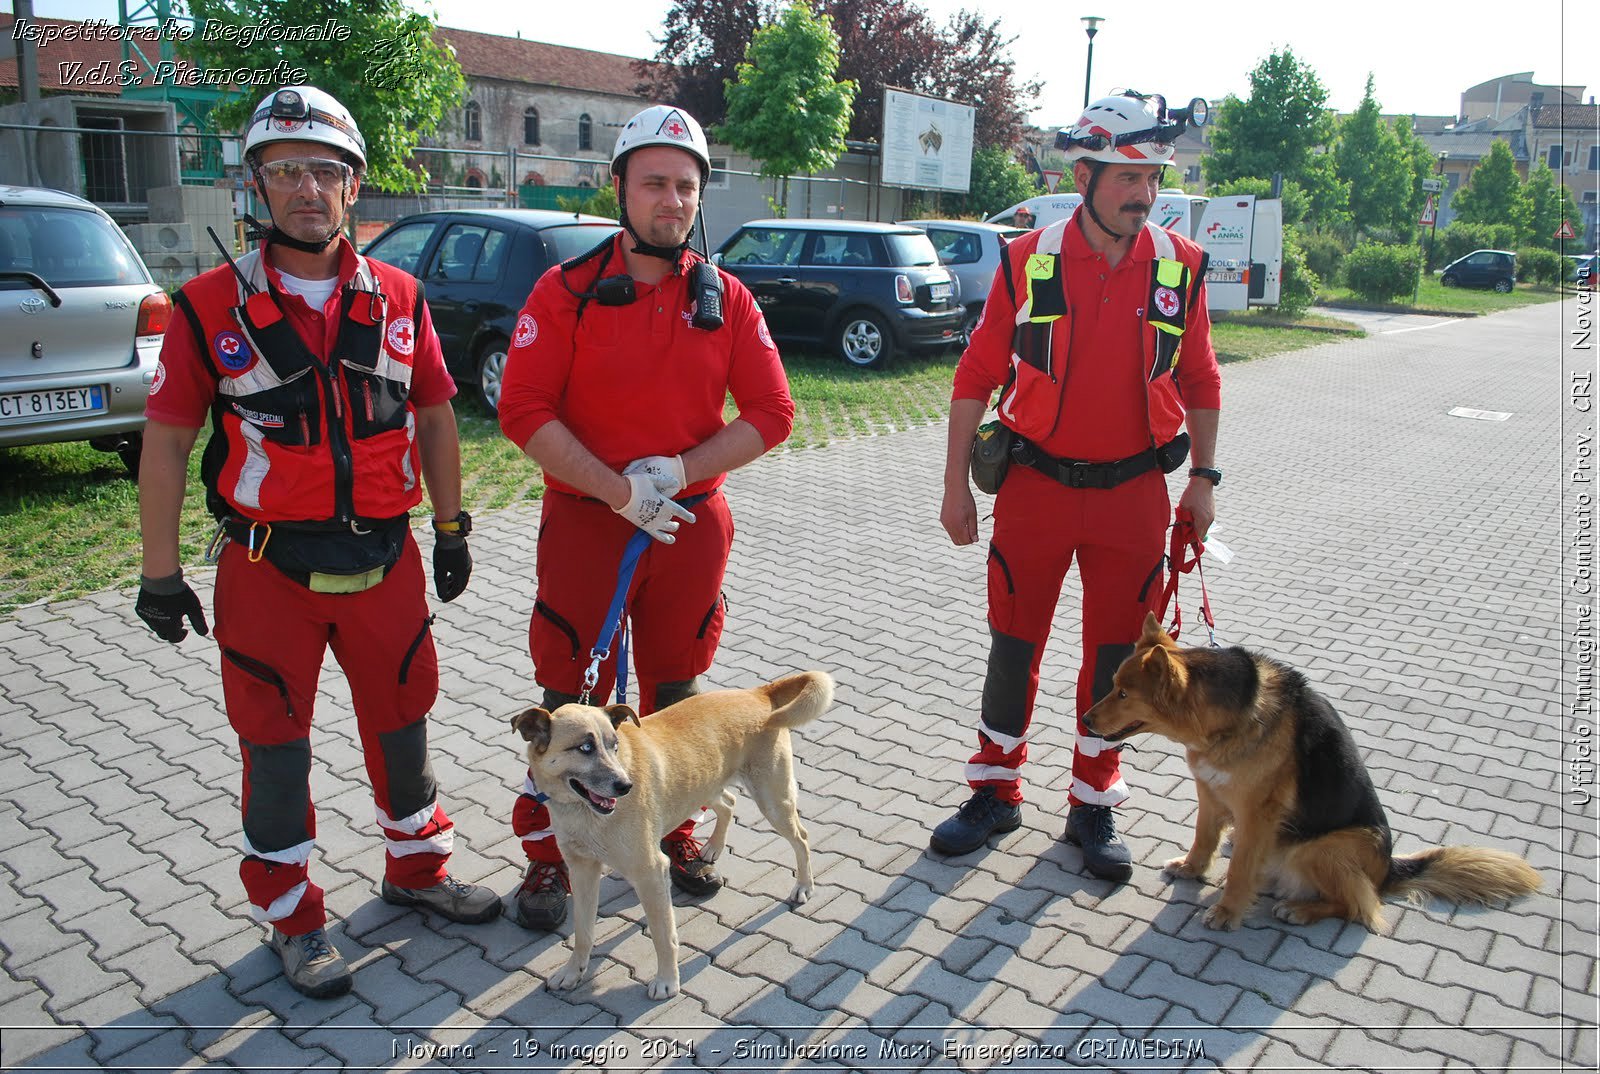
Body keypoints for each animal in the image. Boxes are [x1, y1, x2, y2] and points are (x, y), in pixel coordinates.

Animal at [508, 672, 838, 998]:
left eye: (614, 745)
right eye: (585, 748)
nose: (625, 786)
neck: (582, 811)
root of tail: (757, 693)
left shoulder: (651, 871)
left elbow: (662, 935)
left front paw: (667, 980)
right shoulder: (581, 870)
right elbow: (583, 931)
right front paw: (572, 972)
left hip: (772, 800)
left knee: (802, 837)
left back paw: (804, 886)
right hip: (705, 784)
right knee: (729, 802)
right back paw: (712, 848)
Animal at [1081, 614, 1542, 934]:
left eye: (1123, 693)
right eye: (1113, 684)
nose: (1085, 720)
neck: (1230, 718)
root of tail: (1388, 870)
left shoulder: (1258, 814)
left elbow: (1241, 870)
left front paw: (1228, 910)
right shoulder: (1210, 793)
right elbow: (1204, 838)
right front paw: (1194, 868)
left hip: (1321, 849)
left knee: (1361, 905)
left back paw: (1300, 909)